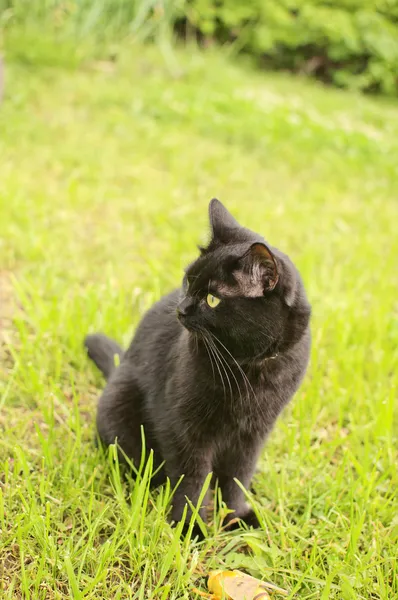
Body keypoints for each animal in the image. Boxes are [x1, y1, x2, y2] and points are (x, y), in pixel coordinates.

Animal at [86, 200, 310, 528]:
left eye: (213, 299)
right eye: (188, 280)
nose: (181, 308)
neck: (245, 366)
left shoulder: (253, 434)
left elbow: (237, 477)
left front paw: (235, 518)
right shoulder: (182, 428)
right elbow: (192, 479)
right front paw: (191, 525)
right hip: (119, 404)